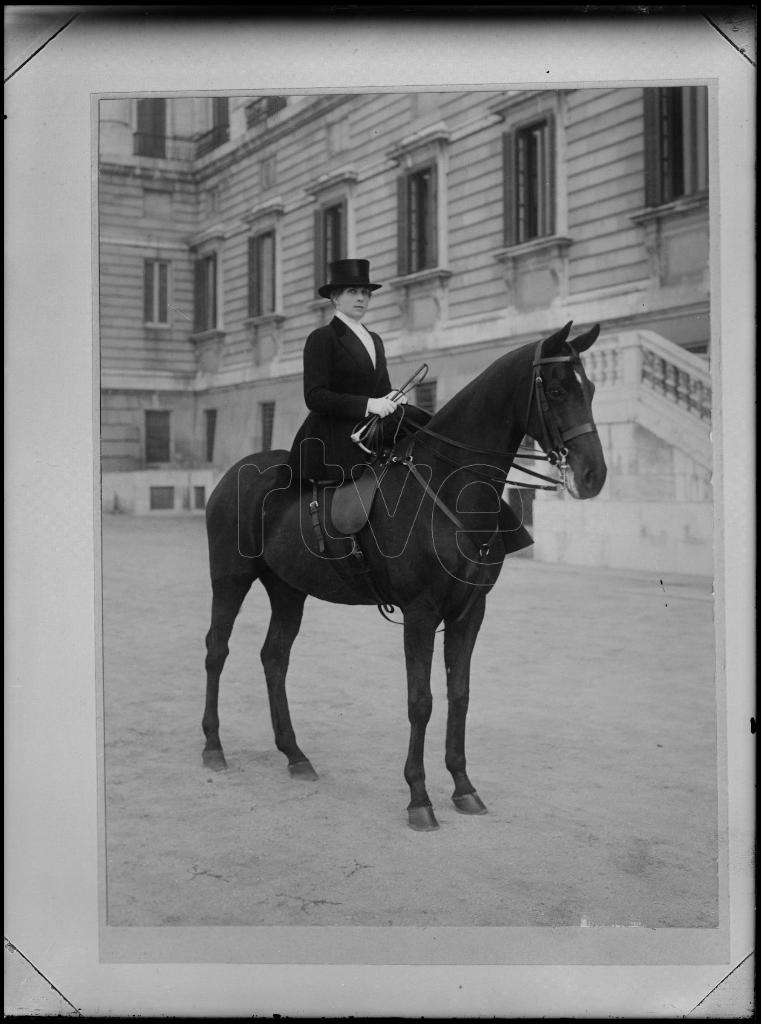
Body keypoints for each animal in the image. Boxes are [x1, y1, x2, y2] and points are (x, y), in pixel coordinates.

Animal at [200, 323, 606, 827]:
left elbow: (459, 694)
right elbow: (421, 701)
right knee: (217, 650)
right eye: (556, 390)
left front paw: (463, 785)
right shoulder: (420, 612)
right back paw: (213, 745)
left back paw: (295, 754)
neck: (451, 489)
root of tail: (234, 471)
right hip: (230, 579)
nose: (594, 474)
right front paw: (419, 796)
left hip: (289, 589)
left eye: (591, 389)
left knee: (274, 658)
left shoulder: (470, 611)